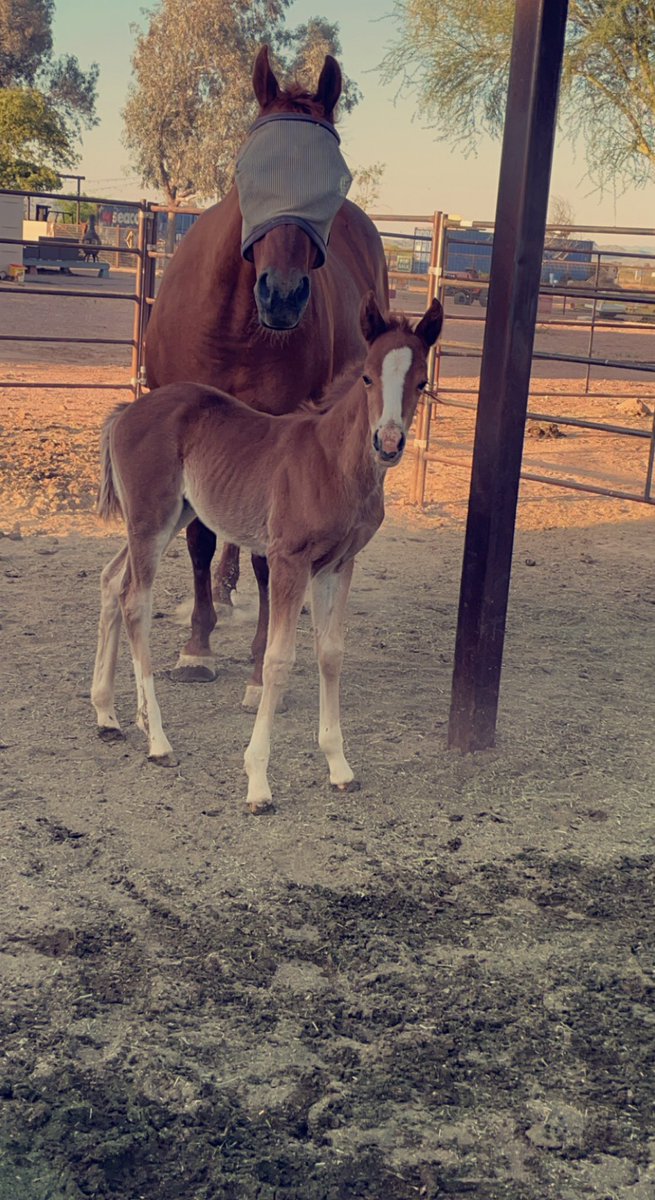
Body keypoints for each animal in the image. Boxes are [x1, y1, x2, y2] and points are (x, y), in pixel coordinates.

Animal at [92, 293, 443, 814]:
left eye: (420, 382)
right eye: (367, 377)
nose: (389, 442)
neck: (332, 463)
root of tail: (127, 411)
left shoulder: (338, 566)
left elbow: (330, 653)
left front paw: (339, 767)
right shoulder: (288, 561)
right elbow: (278, 660)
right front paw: (258, 782)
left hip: (169, 517)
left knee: (112, 580)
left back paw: (110, 715)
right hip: (151, 519)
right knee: (135, 600)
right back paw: (158, 741)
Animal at [144, 45, 389, 708]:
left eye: (335, 180)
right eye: (248, 168)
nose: (282, 294)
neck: (234, 325)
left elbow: (265, 561)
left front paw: (257, 667)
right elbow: (201, 539)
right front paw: (198, 647)